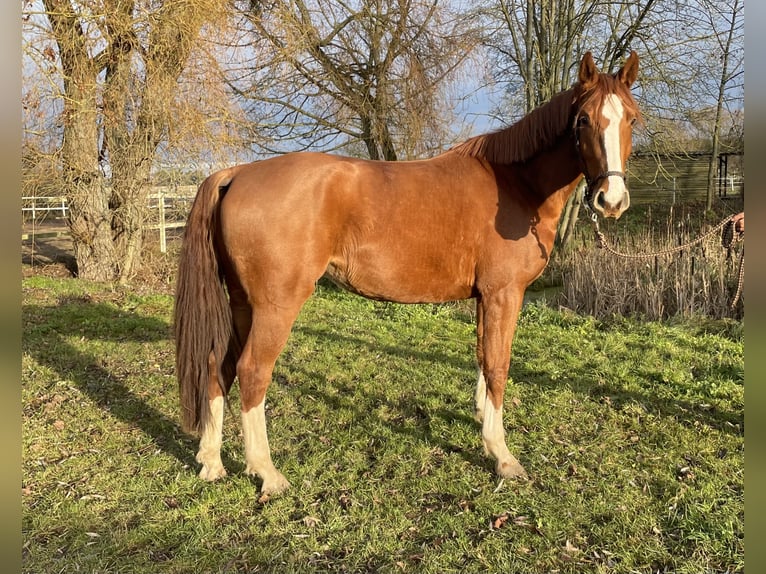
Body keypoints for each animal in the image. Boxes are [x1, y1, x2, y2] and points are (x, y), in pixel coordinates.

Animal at [174, 51, 640, 495]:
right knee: (253, 371)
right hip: (276, 305)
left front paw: (481, 422)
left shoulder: (485, 298)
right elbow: (498, 365)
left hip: (242, 303)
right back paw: (267, 473)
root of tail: (237, 173)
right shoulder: (504, 293)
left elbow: (482, 358)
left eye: (632, 118)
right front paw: (502, 456)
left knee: (219, 365)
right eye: (583, 120)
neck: (515, 184)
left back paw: (212, 462)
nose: (611, 200)